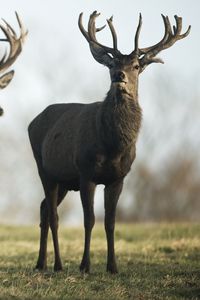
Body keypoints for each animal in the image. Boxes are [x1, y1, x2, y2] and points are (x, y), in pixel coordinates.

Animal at [27, 11, 189, 274]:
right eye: (112, 64)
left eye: (136, 66)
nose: (119, 76)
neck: (113, 146)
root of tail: (32, 122)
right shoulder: (86, 173)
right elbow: (89, 220)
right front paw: (85, 265)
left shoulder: (118, 177)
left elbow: (111, 222)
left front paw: (113, 266)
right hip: (44, 169)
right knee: (53, 215)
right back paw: (58, 264)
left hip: (64, 180)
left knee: (43, 209)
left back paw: (41, 263)